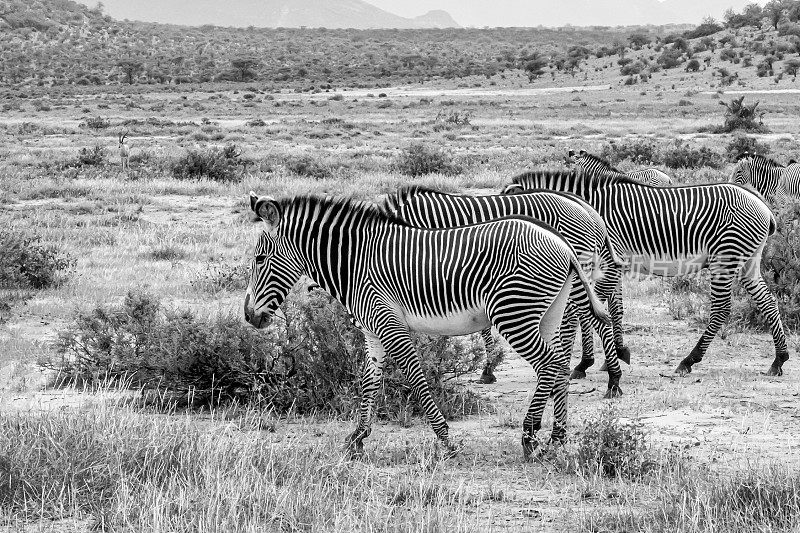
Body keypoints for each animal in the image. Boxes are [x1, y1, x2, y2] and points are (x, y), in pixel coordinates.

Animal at [245, 193, 612, 460]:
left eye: (259, 259)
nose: (249, 316)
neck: (354, 262)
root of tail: (564, 245)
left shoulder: (390, 324)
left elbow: (417, 381)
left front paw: (445, 440)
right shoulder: (372, 332)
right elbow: (369, 383)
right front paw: (357, 439)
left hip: (513, 312)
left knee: (549, 364)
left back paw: (529, 436)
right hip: (548, 312)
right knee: (559, 364)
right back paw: (555, 439)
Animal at [504, 168, 792, 376]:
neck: (587, 211)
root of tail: (762, 204)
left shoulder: (609, 262)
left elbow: (588, 312)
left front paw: (584, 363)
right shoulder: (613, 265)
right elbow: (613, 308)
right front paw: (616, 354)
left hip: (726, 258)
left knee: (721, 309)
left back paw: (689, 360)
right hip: (748, 260)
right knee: (767, 301)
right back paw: (779, 359)